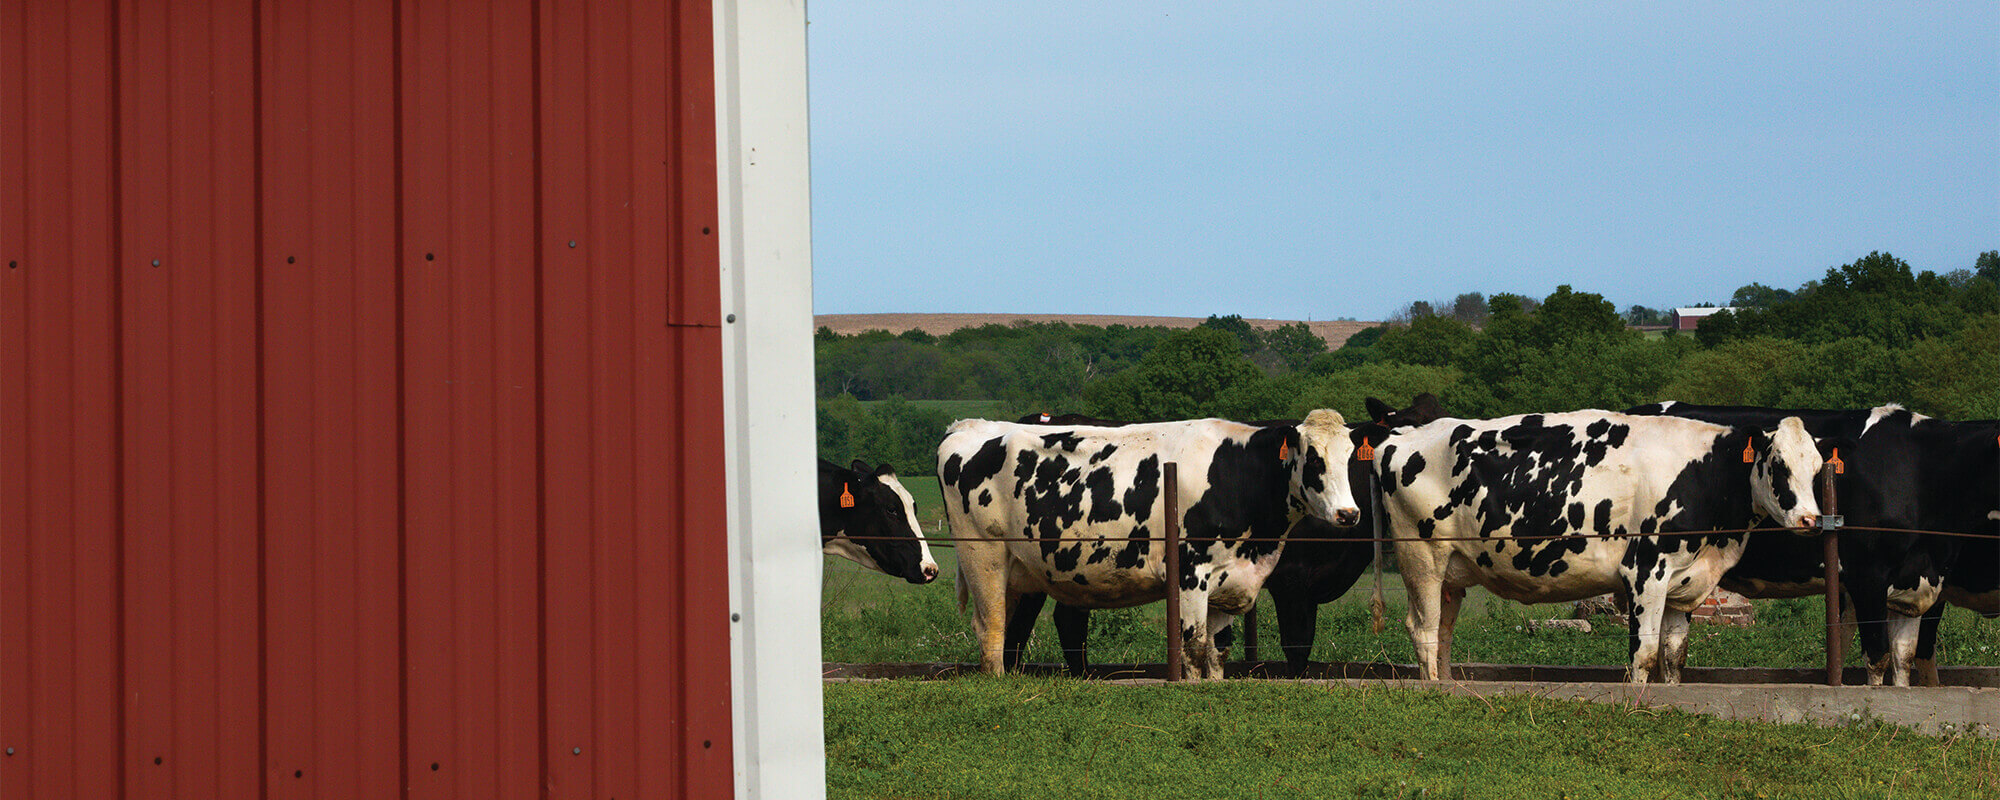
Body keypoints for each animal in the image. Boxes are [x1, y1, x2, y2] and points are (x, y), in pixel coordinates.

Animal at [940, 410, 1360, 680]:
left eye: (1349, 458)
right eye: (1314, 459)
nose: (1349, 513)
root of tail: (968, 426)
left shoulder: (1227, 578)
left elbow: (1218, 649)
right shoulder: (1190, 573)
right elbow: (1193, 645)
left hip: (1018, 571)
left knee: (1009, 627)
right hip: (984, 556)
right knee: (992, 627)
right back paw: (997, 681)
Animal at [1376, 412, 1832, 680]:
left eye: (1816, 468)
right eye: (1778, 464)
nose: (1810, 520)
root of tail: (1398, 438)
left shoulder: (1684, 582)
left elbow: (1674, 656)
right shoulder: (1646, 572)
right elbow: (1644, 654)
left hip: (1452, 571)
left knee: (1443, 631)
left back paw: (1451, 686)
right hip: (1422, 561)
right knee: (1424, 630)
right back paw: (1435, 690)